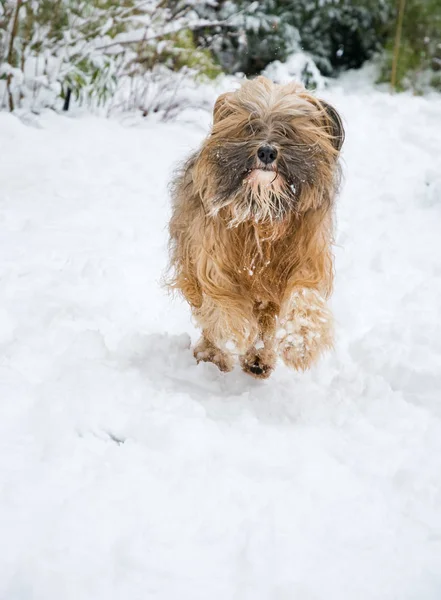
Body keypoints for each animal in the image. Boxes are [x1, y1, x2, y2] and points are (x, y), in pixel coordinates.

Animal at [167, 76, 342, 380]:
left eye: (287, 130)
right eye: (251, 126)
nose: (267, 152)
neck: (262, 215)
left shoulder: (307, 257)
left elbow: (304, 296)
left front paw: (300, 341)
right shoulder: (211, 258)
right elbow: (221, 298)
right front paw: (233, 332)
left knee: (267, 322)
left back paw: (259, 358)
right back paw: (214, 353)